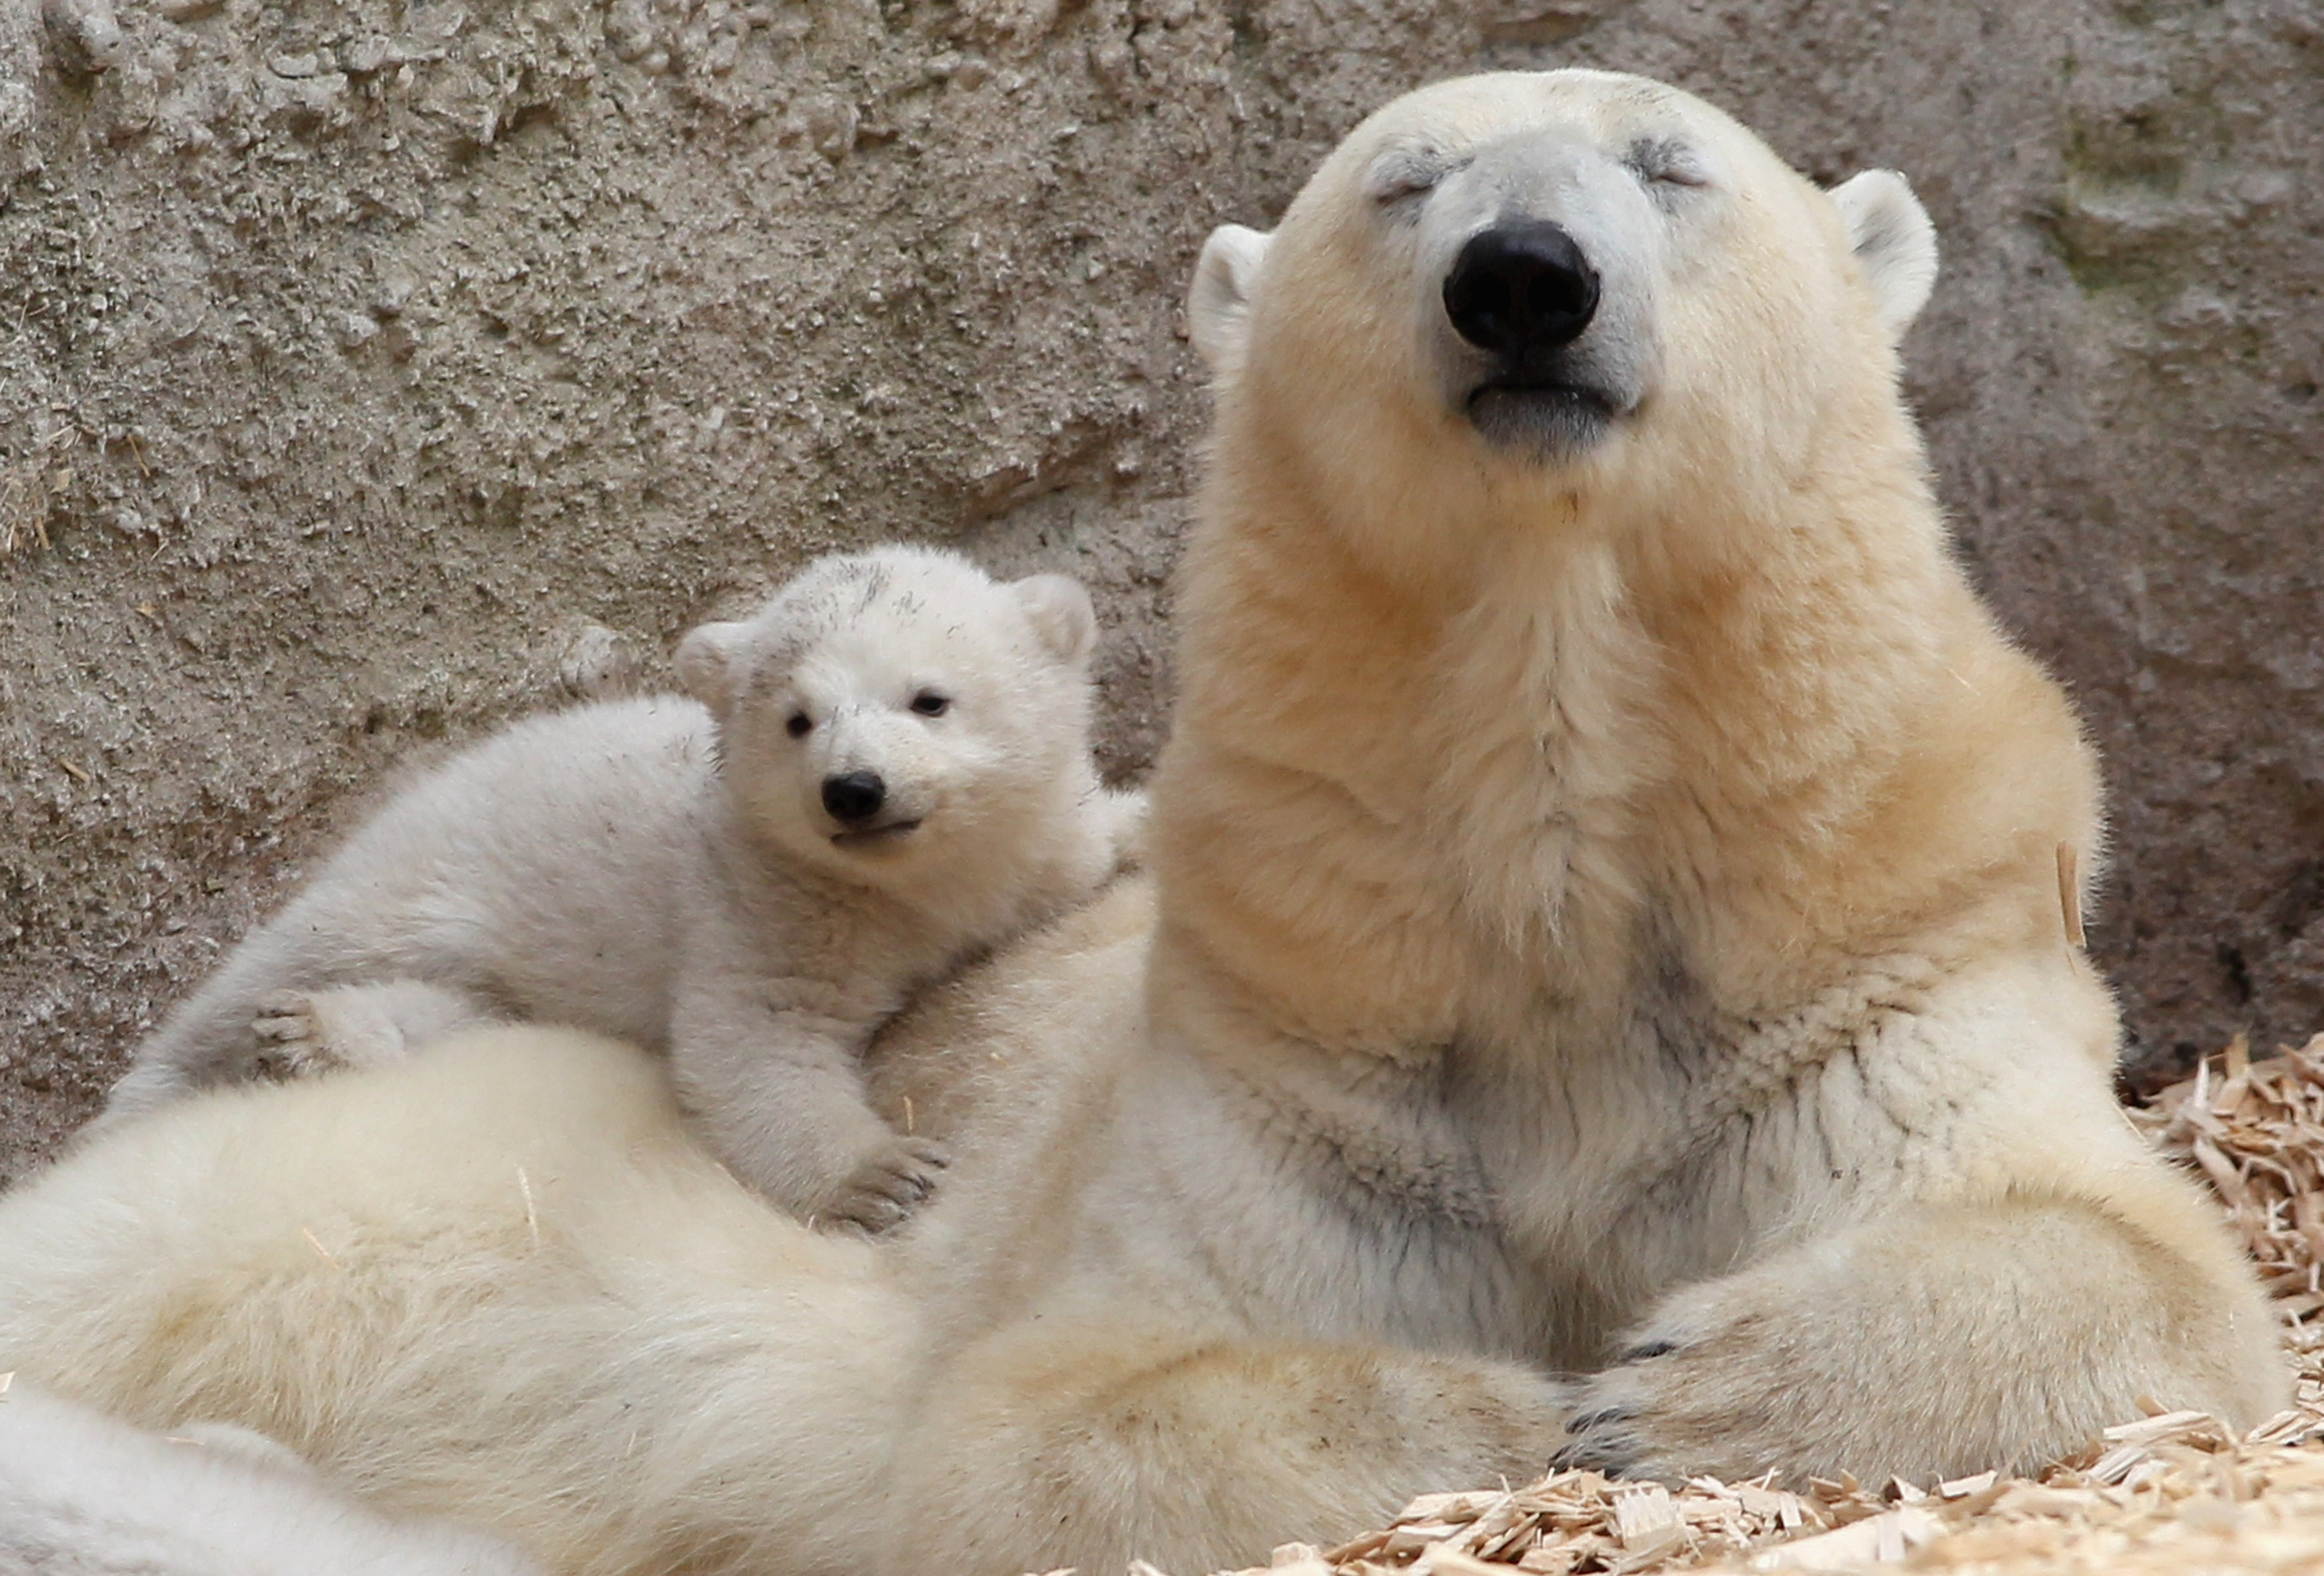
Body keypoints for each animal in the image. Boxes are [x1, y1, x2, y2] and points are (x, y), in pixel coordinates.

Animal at [100, 546, 1143, 1237]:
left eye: (929, 698)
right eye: (797, 719)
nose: (854, 788)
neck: (921, 889)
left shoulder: (1041, 854)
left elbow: (1098, 842)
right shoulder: (769, 899)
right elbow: (757, 1042)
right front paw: (885, 1173)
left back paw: (319, 1040)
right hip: (414, 882)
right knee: (250, 991)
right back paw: (249, 1055)